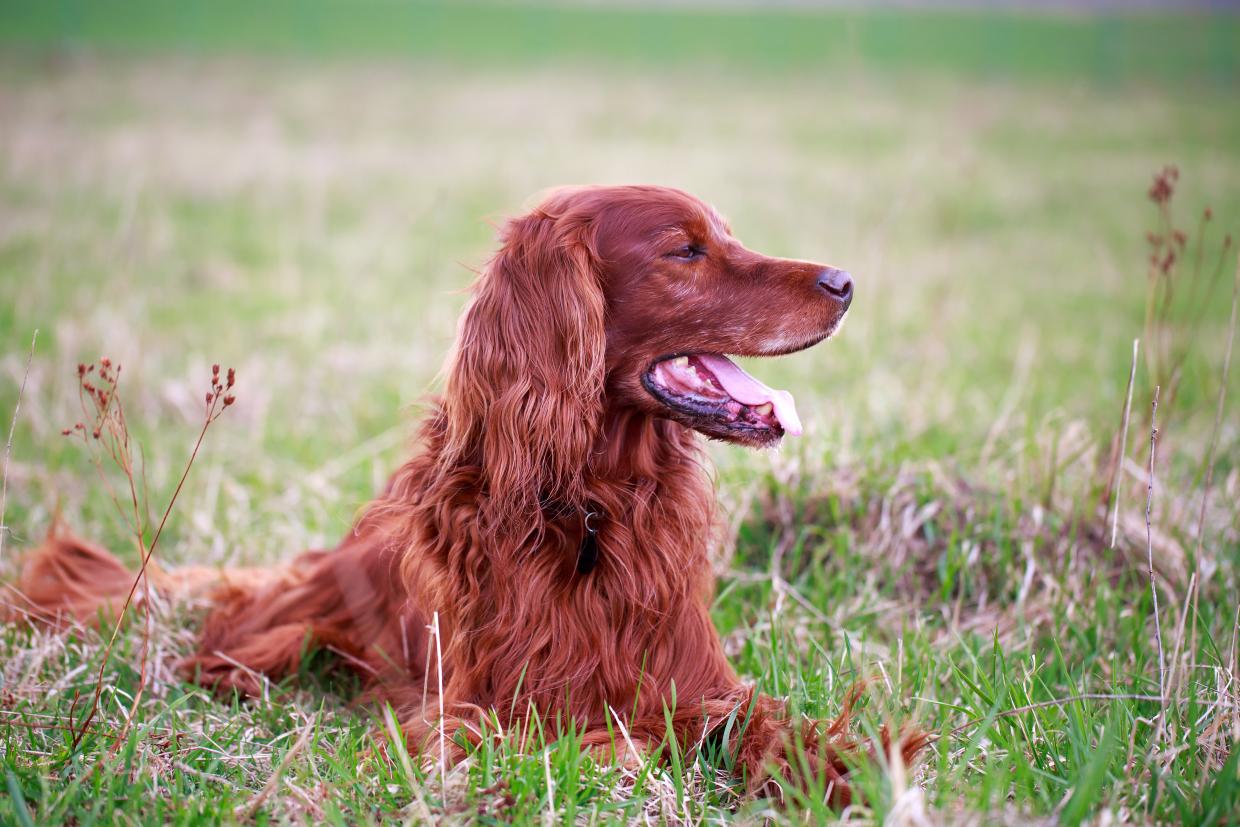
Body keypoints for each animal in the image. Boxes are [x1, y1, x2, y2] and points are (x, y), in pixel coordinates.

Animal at [7, 185, 922, 803]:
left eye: (723, 235)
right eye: (685, 251)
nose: (844, 281)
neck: (592, 509)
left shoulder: (698, 679)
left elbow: (777, 722)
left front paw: (852, 768)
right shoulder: (473, 700)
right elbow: (538, 735)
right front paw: (616, 749)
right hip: (288, 629)